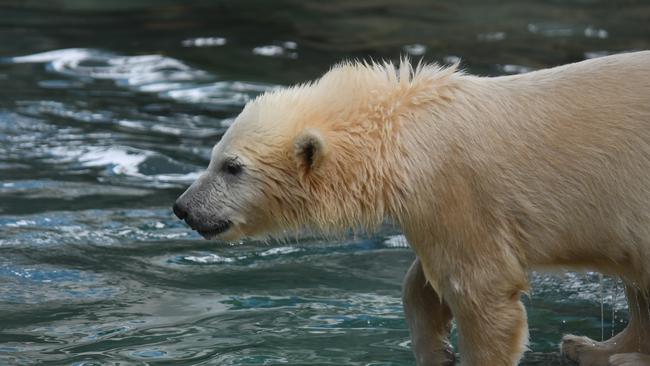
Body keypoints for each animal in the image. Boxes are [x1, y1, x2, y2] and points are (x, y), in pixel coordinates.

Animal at [172, 52, 648, 366]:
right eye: (213, 156)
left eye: (232, 167)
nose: (182, 207)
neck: (403, 133)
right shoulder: (432, 205)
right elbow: (425, 279)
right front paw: (436, 349)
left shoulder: (456, 188)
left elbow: (482, 288)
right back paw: (592, 347)